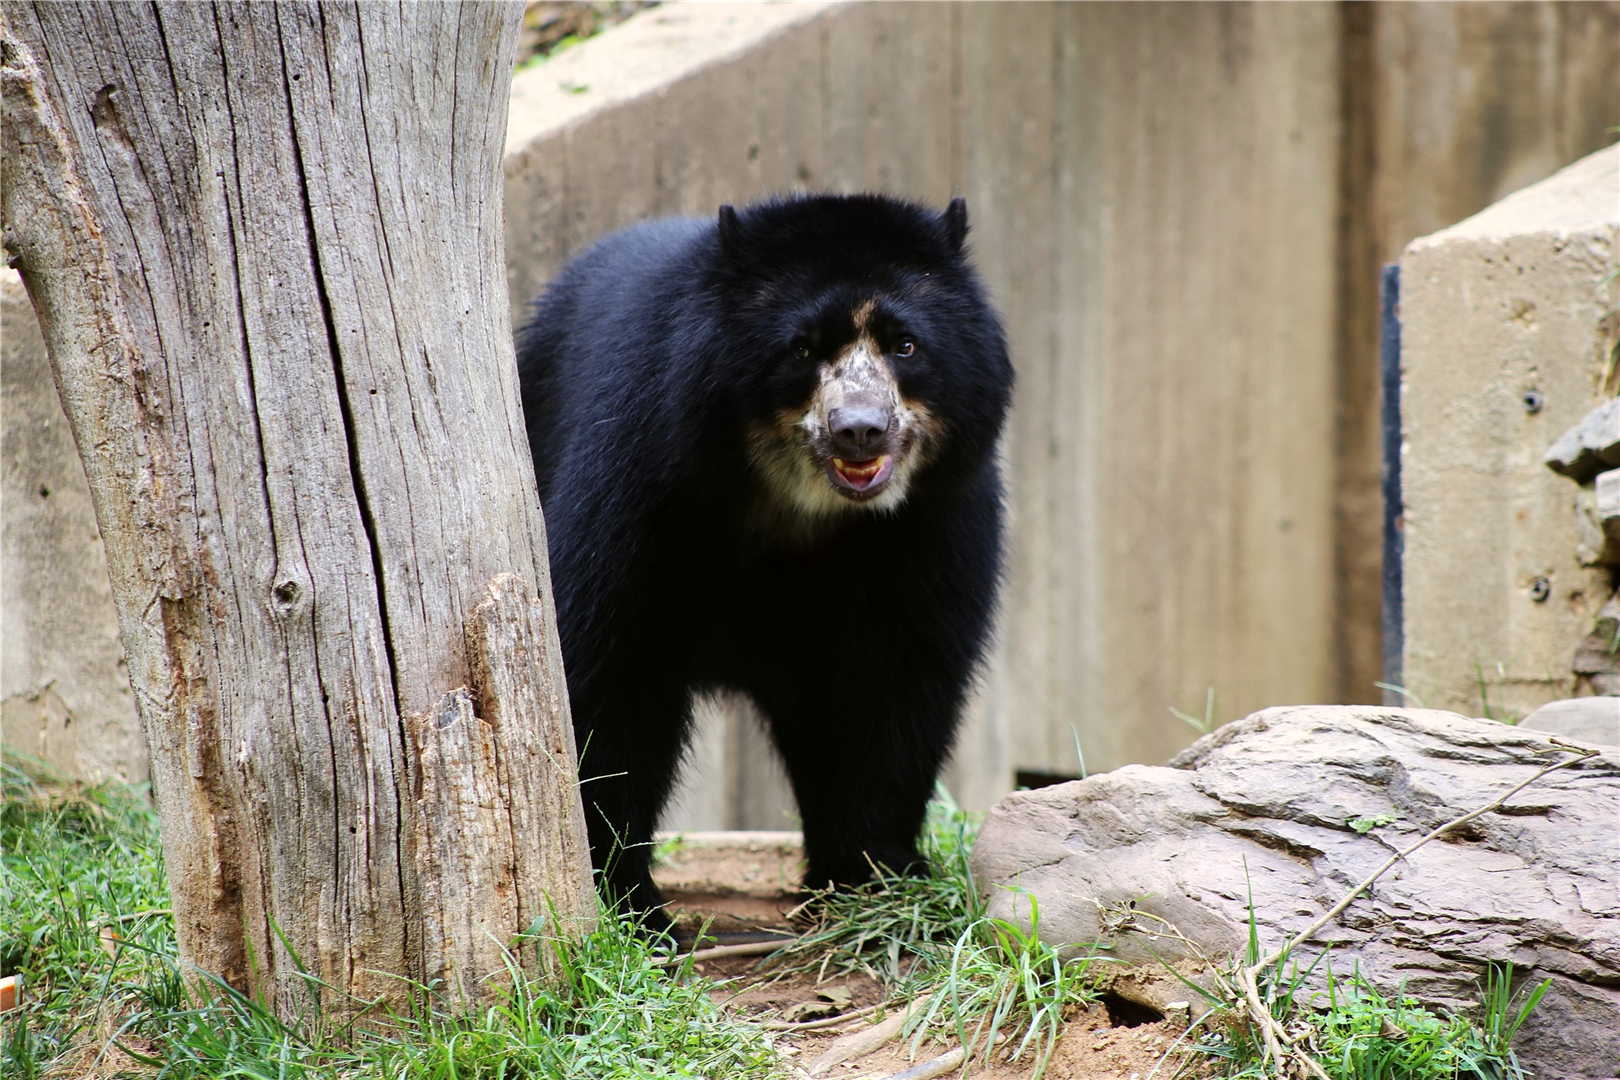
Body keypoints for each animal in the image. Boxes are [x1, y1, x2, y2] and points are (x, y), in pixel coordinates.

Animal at [516, 194, 1012, 933]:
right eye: (803, 349)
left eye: (906, 345)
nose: (860, 430)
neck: (798, 505)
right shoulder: (643, 478)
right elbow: (612, 673)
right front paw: (633, 907)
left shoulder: (928, 524)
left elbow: (893, 679)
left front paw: (873, 879)